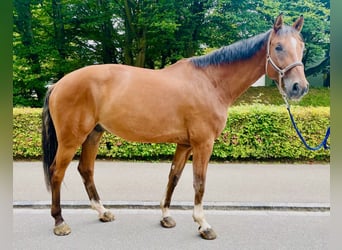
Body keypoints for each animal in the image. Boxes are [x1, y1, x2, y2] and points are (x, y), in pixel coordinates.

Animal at [42, 14, 308, 240]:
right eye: (278, 47)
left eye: (301, 47)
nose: (299, 87)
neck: (210, 82)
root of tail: (57, 84)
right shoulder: (203, 143)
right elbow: (199, 182)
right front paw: (203, 224)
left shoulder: (185, 144)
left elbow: (174, 176)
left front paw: (166, 216)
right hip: (71, 139)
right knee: (57, 172)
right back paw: (59, 222)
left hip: (93, 135)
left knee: (86, 170)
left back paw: (102, 211)